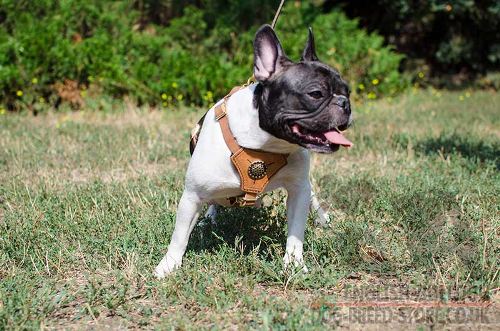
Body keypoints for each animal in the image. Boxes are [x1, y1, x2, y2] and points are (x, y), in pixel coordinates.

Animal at [154, 25, 354, 278]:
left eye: (348, 91)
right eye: (316, 93)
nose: (344, 103)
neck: (265, 144)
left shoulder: (298, 190)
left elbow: (296, 233)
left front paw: (294, 264)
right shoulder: (192, 195)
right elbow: (179, 236)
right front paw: (169, 265)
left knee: (313, 198)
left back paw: (323, 218)